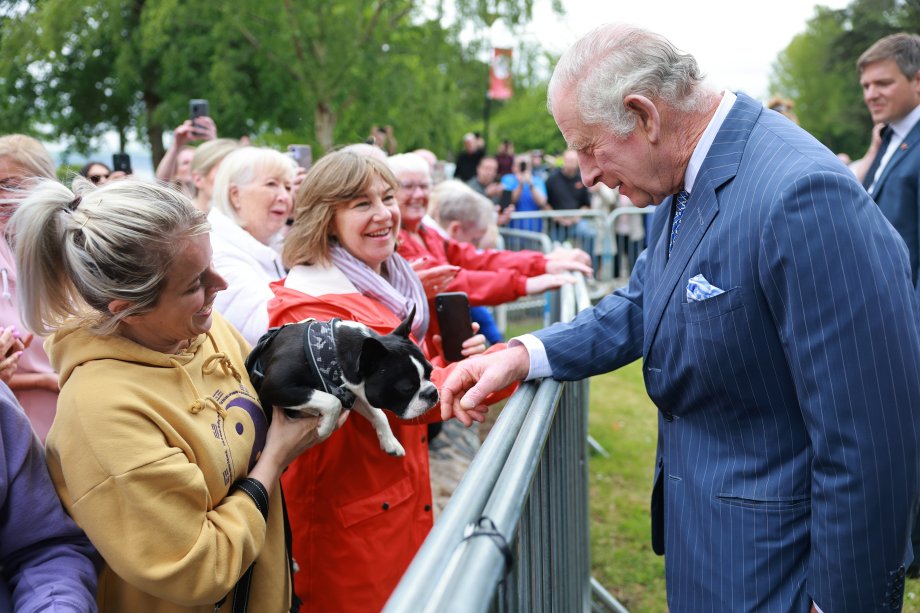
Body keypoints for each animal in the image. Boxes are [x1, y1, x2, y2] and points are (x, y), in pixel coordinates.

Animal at [244, 308, 438, 456]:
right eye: (407, 388)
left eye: (430, 372)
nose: (433, 393)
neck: (331, 352)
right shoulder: (276, 386)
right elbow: (333, 402)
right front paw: (324, 429)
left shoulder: (353, 391)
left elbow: (378, 414)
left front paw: (390, 441)